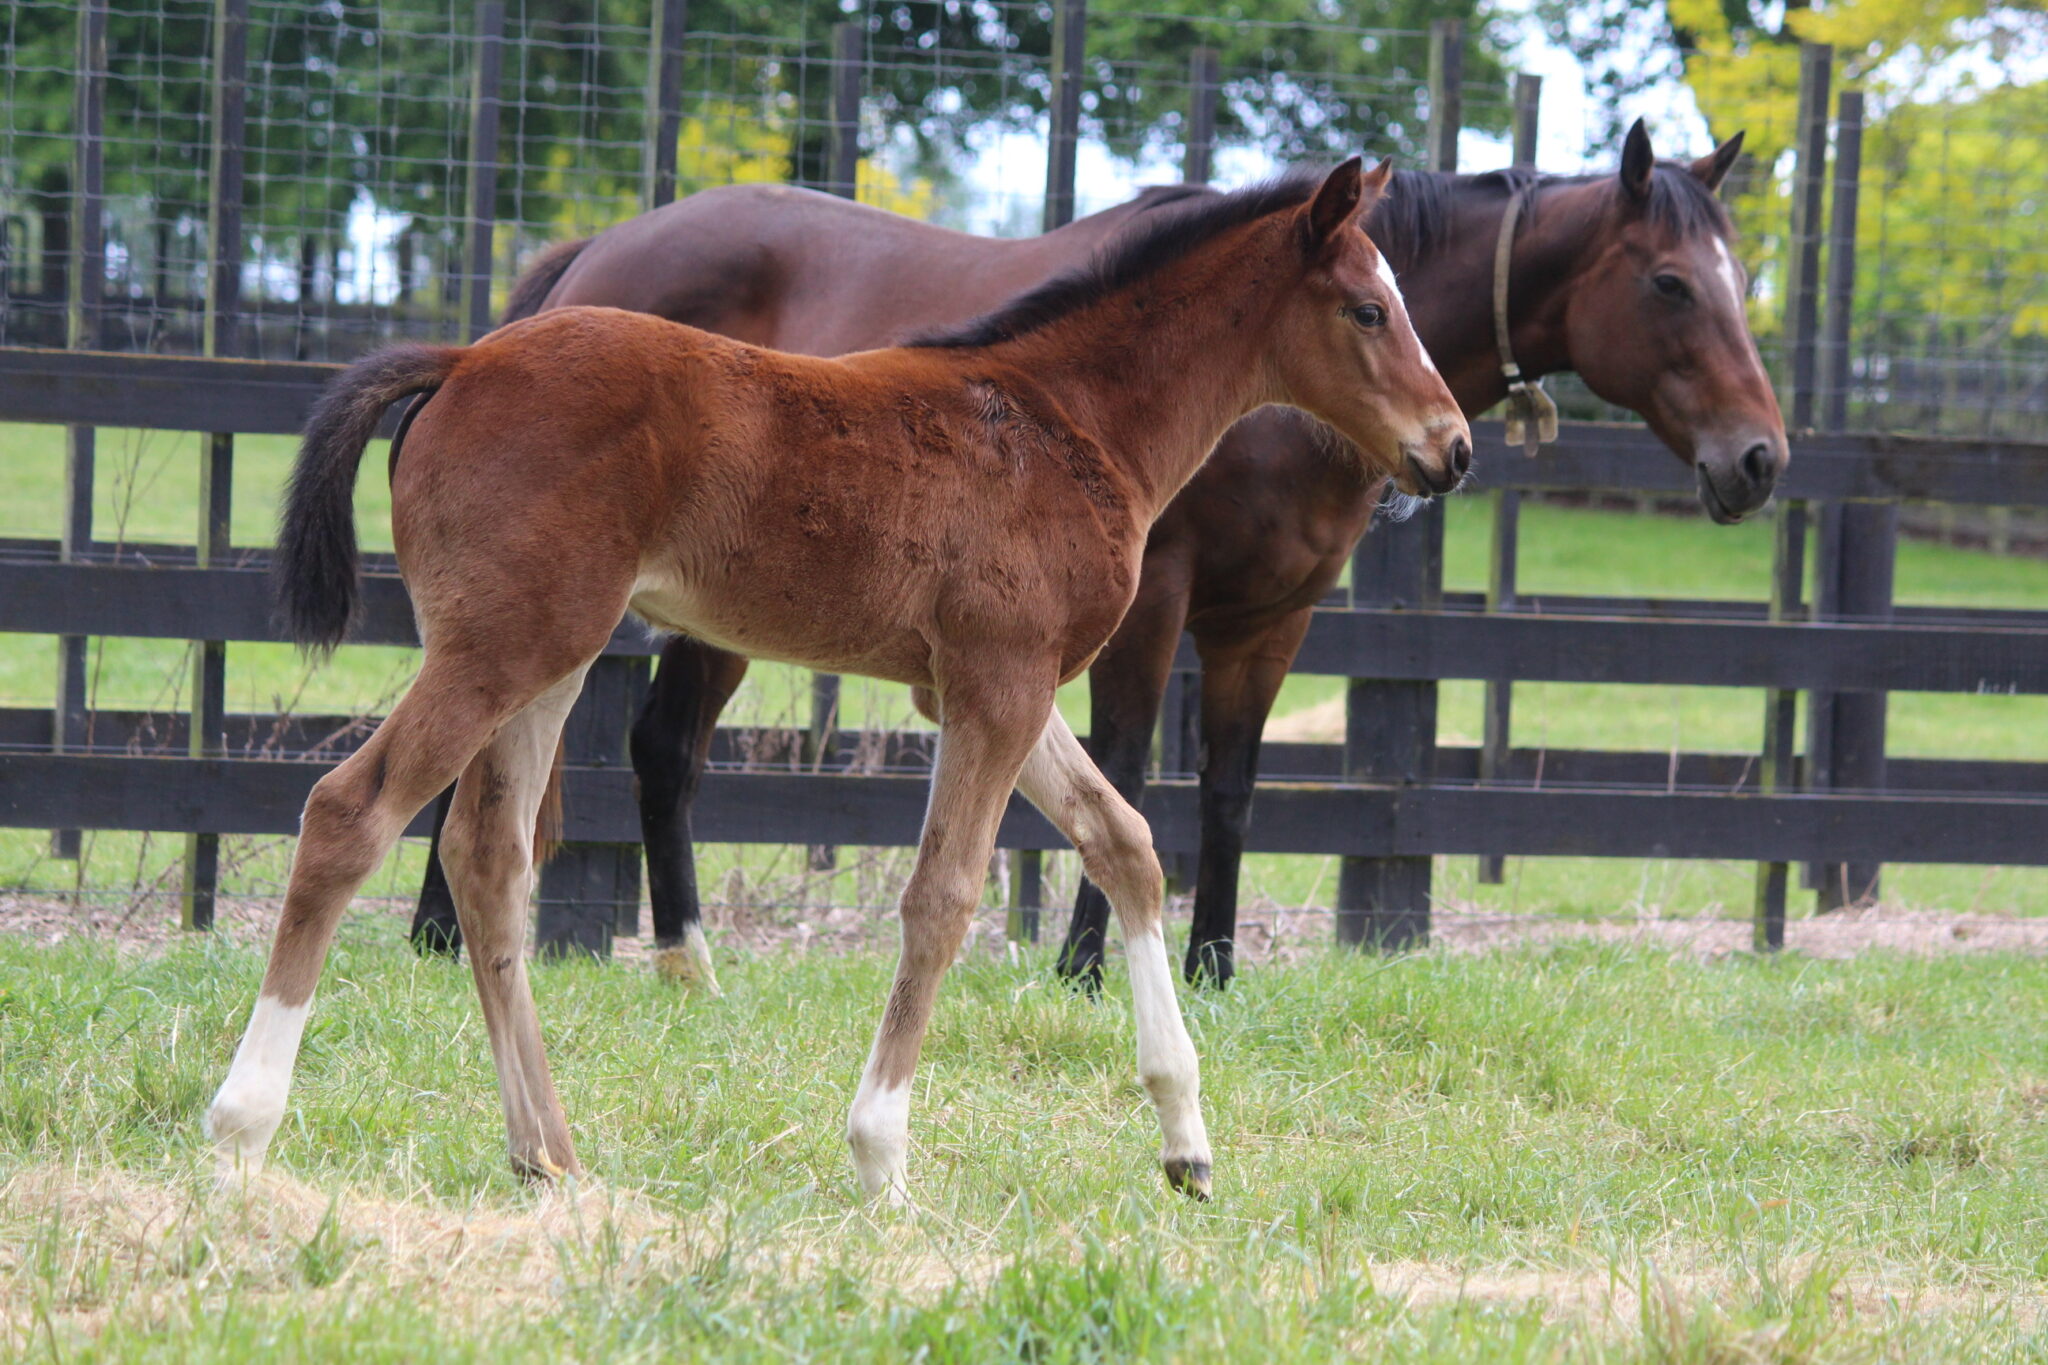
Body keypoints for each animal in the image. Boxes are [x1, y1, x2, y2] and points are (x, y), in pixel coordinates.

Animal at [199, 160, 1466, 1203]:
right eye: (1366, 309)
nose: (1449, 447)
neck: (1067, 421)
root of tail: (460, 357)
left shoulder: (983, 687)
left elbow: (1124, 845)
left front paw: (1185, 1144)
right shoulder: (1001, 685)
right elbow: (943, 897)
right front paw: (880, 1159)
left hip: (548, 657)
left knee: (489, 861)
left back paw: (545, 1153)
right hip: (498, 646)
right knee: (348, 812)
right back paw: (242, 1130)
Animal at [407, 120, 1785, 994]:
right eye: (1670, 283)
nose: (1759, 460)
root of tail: (586, 261)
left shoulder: (1269, 620)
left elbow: (1228, 788)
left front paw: (1215, 967)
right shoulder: (1150, 606)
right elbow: (1120, 765)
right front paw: (1082, 961)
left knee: (642, 745)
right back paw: (469, 938)